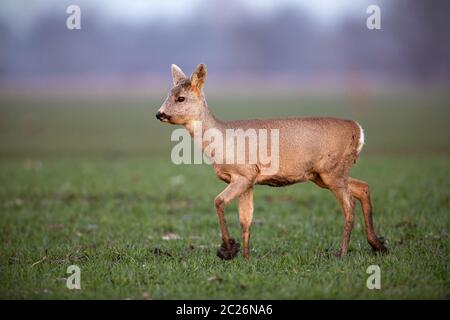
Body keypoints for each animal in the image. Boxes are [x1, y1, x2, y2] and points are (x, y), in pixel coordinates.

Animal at [156, 63, 386, 260]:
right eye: (168, 94)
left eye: (180, 98)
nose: (159, 114)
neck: (221, 141)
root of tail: (358, 129)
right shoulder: (249, 181)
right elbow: (246, 219)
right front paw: (245, 257)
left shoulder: (244, 174)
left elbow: (219, 201)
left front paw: (228, 249)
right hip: (322, 175)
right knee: (363, 188)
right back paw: (378, 245)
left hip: (332, 171)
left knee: (349, 205)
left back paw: (342, 252)